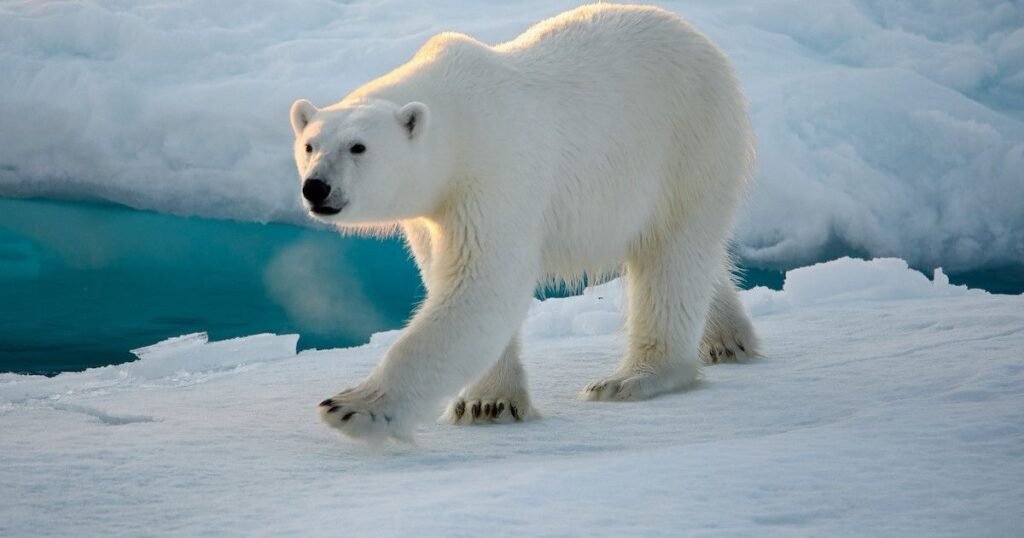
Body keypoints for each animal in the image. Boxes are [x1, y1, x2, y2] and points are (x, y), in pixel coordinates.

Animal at [290, 3, 759, 443]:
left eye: (358, 147)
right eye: (310, 145)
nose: (316, 188)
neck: (459, 121)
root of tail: (699, 39)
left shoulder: (496, 173)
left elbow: (482, 283)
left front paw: (351, 407)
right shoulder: (434, 210)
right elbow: (451, 276)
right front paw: (486, 403)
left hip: (688, 143)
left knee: (672, 256)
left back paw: (632, 378)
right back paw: (728, 339)